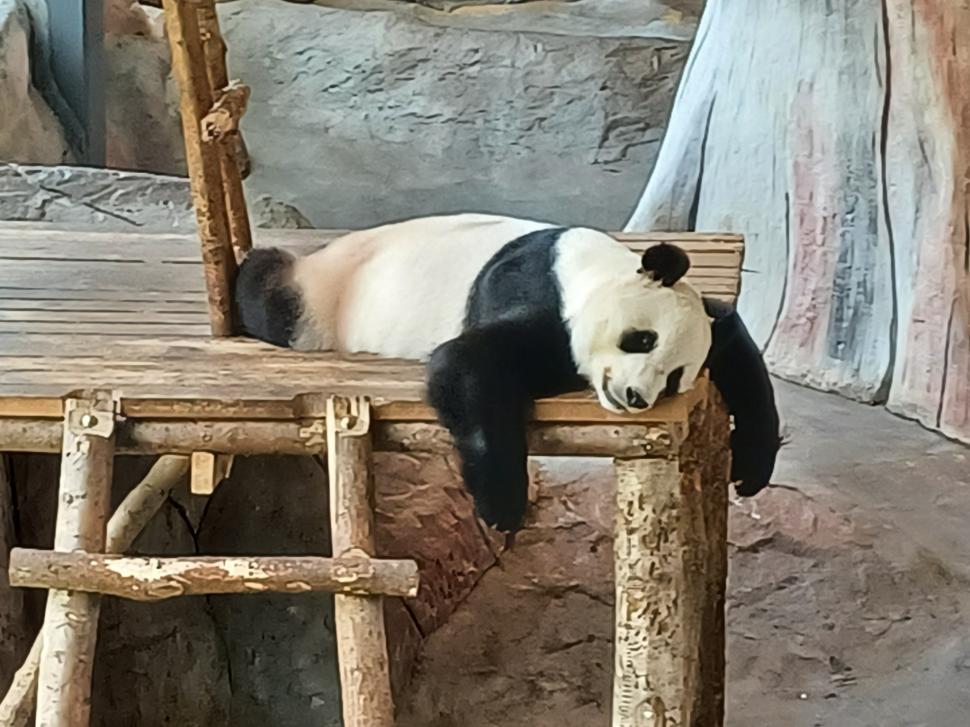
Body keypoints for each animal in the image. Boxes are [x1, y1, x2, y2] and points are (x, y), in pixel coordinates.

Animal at [235, 213, 781, 532]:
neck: (595, 270)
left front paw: (752, 468)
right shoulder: (536, 285)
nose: (635, 396)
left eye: (672, 379)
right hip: (323, 299)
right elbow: (468, 363)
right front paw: (501, 504)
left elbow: (735, 343)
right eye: (642, 339)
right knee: (270, 295)